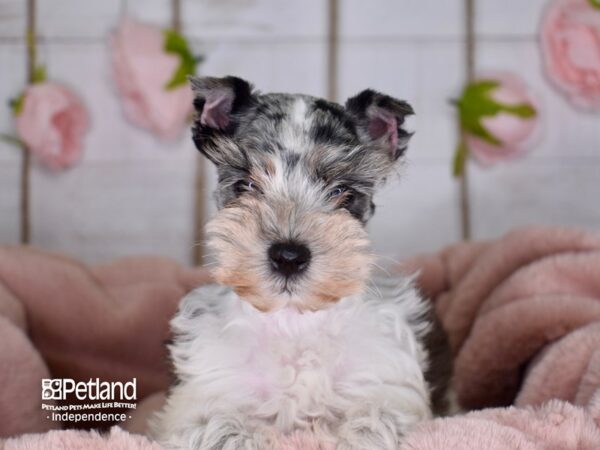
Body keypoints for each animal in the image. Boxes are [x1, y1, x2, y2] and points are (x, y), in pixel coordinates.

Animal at [152, 75, 452, 448]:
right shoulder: (202, 393)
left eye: (341, 192)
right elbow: (213, 423)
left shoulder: (388, 383)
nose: (289, 257)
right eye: (246, 184)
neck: (294, 320)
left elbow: (378, 416)